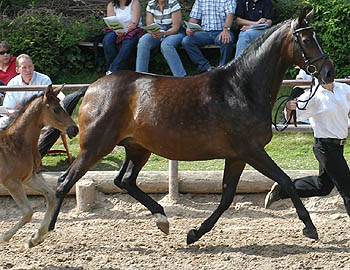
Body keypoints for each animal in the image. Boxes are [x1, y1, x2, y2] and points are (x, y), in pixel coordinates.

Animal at [0, 85, 78, 248]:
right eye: (56, 109)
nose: (74, 129)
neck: (16, 144)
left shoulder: (29, 177)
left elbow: (51, 195)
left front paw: (36, 238)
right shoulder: (11, 182)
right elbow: (28, 212)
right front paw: (4, 236)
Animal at [50, 8, 336, 245]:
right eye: (306, 40)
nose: (328, 72)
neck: (240, 88)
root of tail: (92, 88)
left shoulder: (237, 156)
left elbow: (226, 197)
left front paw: (194, 233)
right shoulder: (251, 151)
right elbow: (284, 180)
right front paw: (310, 228)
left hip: (137, 148)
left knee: (124, 180)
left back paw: (162, 220)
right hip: (96, 147)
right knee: (65, 182)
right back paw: (45, 232)